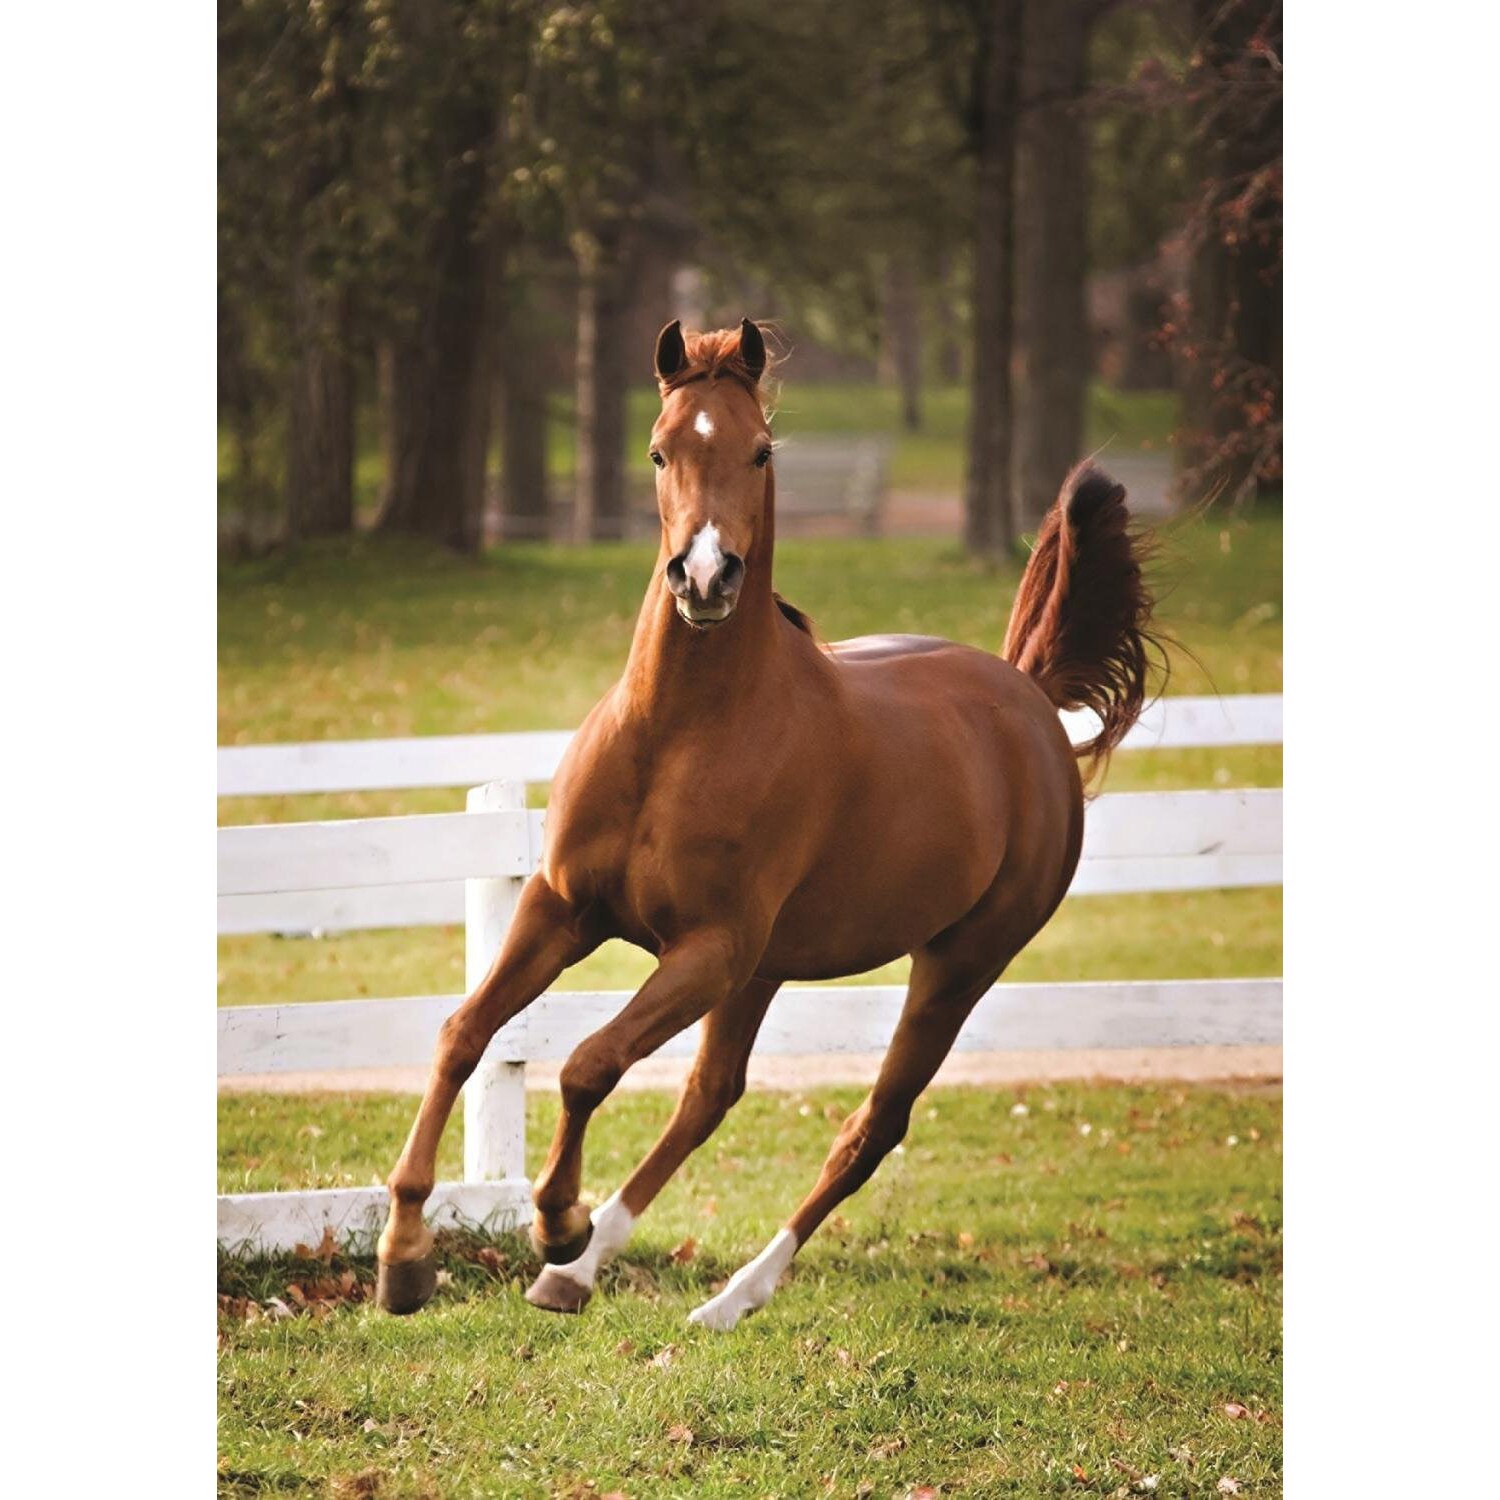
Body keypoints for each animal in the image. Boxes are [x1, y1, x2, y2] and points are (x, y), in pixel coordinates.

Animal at [375, 318, 1158, 1330]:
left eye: (761, 450)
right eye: (660, 448)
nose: (706, 577)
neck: (678, 734)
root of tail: (1027, 699)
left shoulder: (708, 947)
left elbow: (589, 1063)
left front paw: (555, 1218)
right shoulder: (562, 908)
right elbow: (464, 1035)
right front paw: (405, 1255)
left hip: (955, 964)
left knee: (870, 1128)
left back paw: (726, 1295)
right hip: (769, 968)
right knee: (712, 1095)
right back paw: (581, 1272)